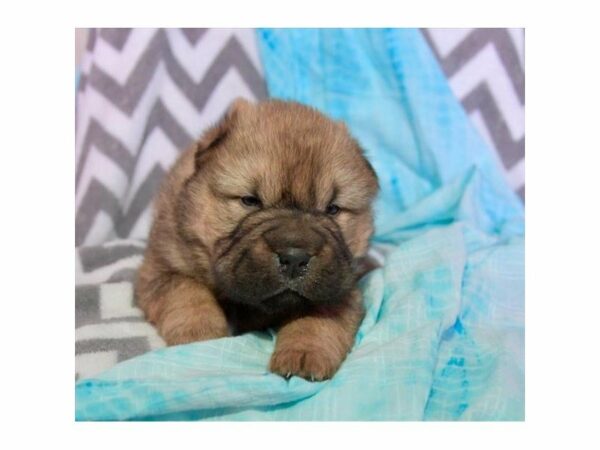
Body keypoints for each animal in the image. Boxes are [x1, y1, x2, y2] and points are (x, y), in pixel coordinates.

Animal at [137, 99, 380, 380]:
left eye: (332, 209)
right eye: (250, 200)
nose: (295, 258)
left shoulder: (339, 286)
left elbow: (316, 318)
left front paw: (304, 356)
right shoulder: (160, 267)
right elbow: (188, 293)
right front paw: (201, 334)